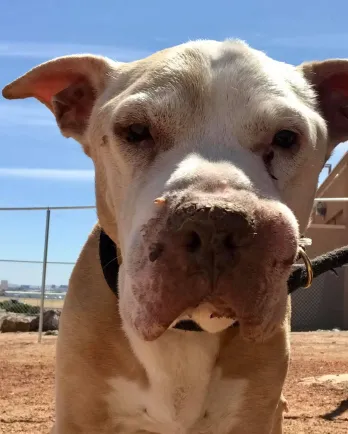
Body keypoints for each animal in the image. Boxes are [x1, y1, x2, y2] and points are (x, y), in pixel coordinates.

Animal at [2, 39, 348, 432]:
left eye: (287, 138)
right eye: (136, 131)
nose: (215, 223)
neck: (186, 332)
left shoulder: (255, 413)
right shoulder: (81, 414)